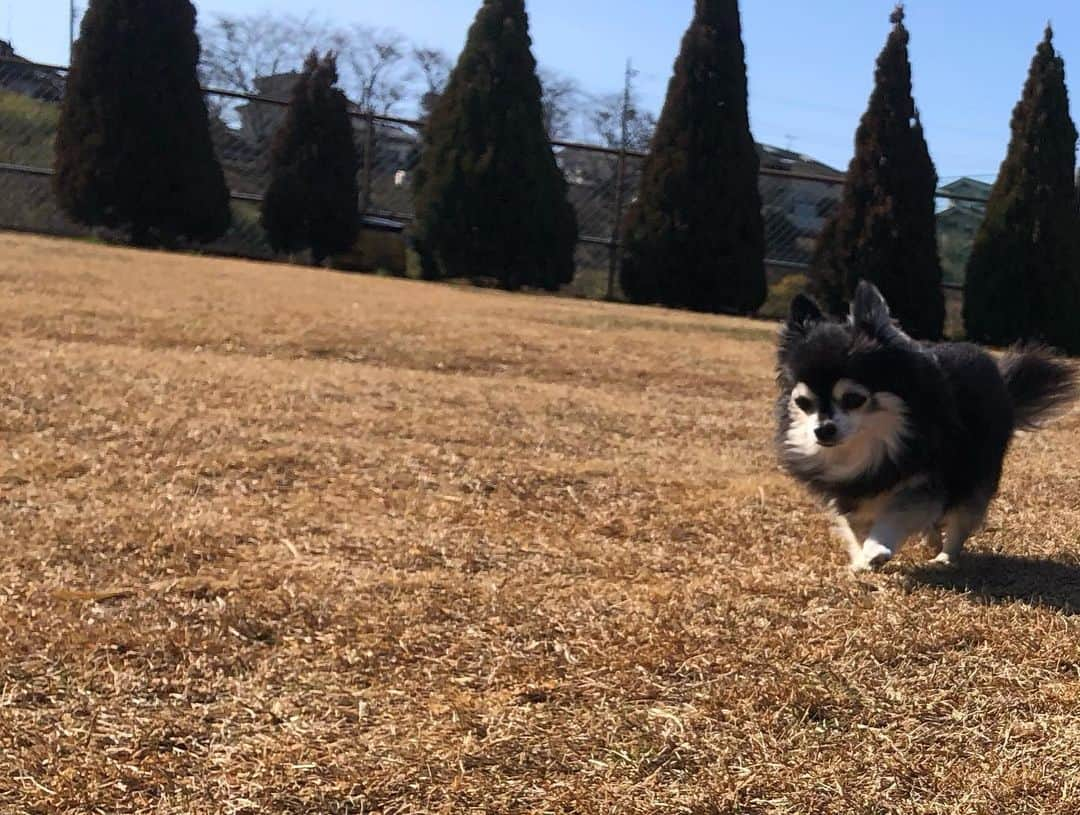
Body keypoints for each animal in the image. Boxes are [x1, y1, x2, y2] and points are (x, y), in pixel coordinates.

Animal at [777, 282, 1071, 569]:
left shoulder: (925, 481)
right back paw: (931, 540)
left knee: (960, 518)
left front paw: (876, 548)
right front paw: (861, 558)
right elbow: (856, 527)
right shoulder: (849, 492)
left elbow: (896, 514)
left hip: (974, 473)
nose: (822, 430)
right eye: (803, 402)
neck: (873, 444)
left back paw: (945, 557)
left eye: (853, 399)